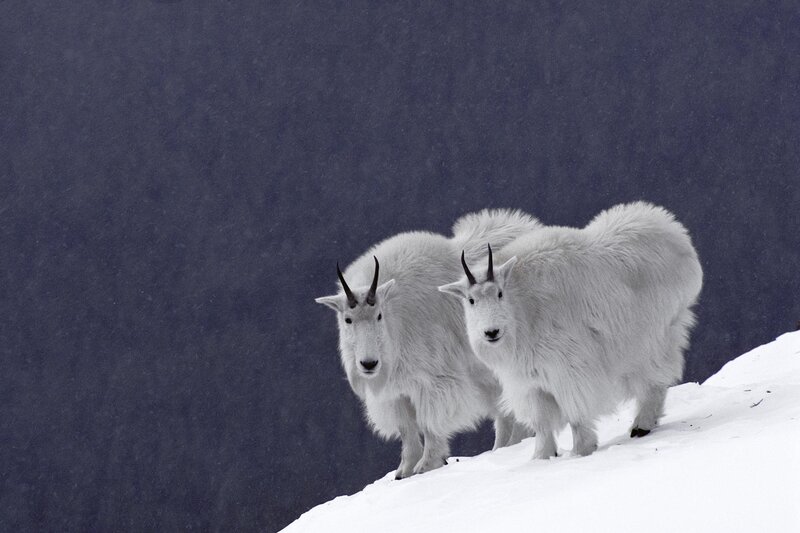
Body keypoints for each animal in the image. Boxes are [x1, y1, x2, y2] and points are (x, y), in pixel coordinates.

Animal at [315, 209, 539, 478]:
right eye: (348, 320)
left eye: (379, 315)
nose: (369, 364)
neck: (396, 323)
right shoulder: (396, 391)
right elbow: (406, 428)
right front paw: (404, 471)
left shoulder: (433, 380)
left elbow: (430, 421)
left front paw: (427, 464)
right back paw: (502, 448)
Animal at [439, 202, 703, 460]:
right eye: (471, 300)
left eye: (500, 293)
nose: (491, 332)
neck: (524, 309)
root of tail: (673, 231)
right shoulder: (530, 383)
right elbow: (542, 424)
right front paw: (541, 457)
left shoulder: (568, 370)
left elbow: (576, 413)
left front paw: (582, 450)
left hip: (655, 336)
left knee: (656, 379)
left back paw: (641, 425)